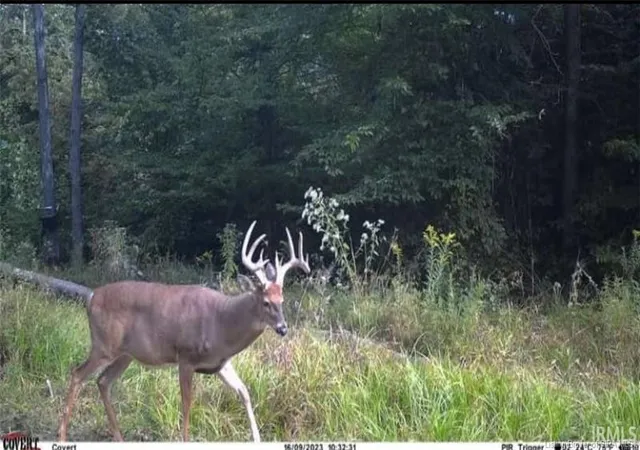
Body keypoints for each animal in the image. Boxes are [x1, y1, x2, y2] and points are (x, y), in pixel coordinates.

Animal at [56, 220, 310, 442]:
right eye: (266, 302)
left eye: (282, 299)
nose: (283, 328)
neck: (221, 324)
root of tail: (91, 297)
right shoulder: (186, 357)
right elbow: (187, 403)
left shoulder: (221, 363)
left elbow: (244, 392)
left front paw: (257, 439)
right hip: (103, 345)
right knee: (77, 374)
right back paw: (62, 435)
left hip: (125, 354)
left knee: (103, 381)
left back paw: (119, 438)